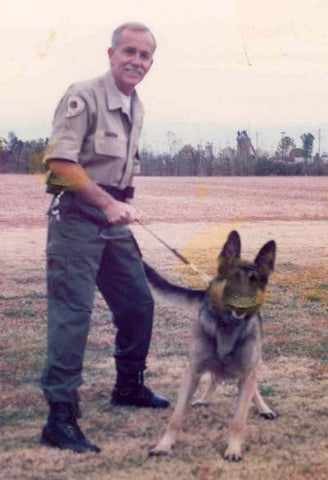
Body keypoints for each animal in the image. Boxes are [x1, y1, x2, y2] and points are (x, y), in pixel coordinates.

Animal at [145, 232, 278, 462]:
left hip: (252, 367)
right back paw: (204, 398)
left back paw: (263, 407)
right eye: (232, 279)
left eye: (255, 283)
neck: (227, 327)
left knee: (251, 387)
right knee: (215, 378)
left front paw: (233, 448)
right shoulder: (193, 372)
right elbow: (176, 418)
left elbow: (239, 420)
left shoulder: (247, 374)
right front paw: (164, 445)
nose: (242, 306)